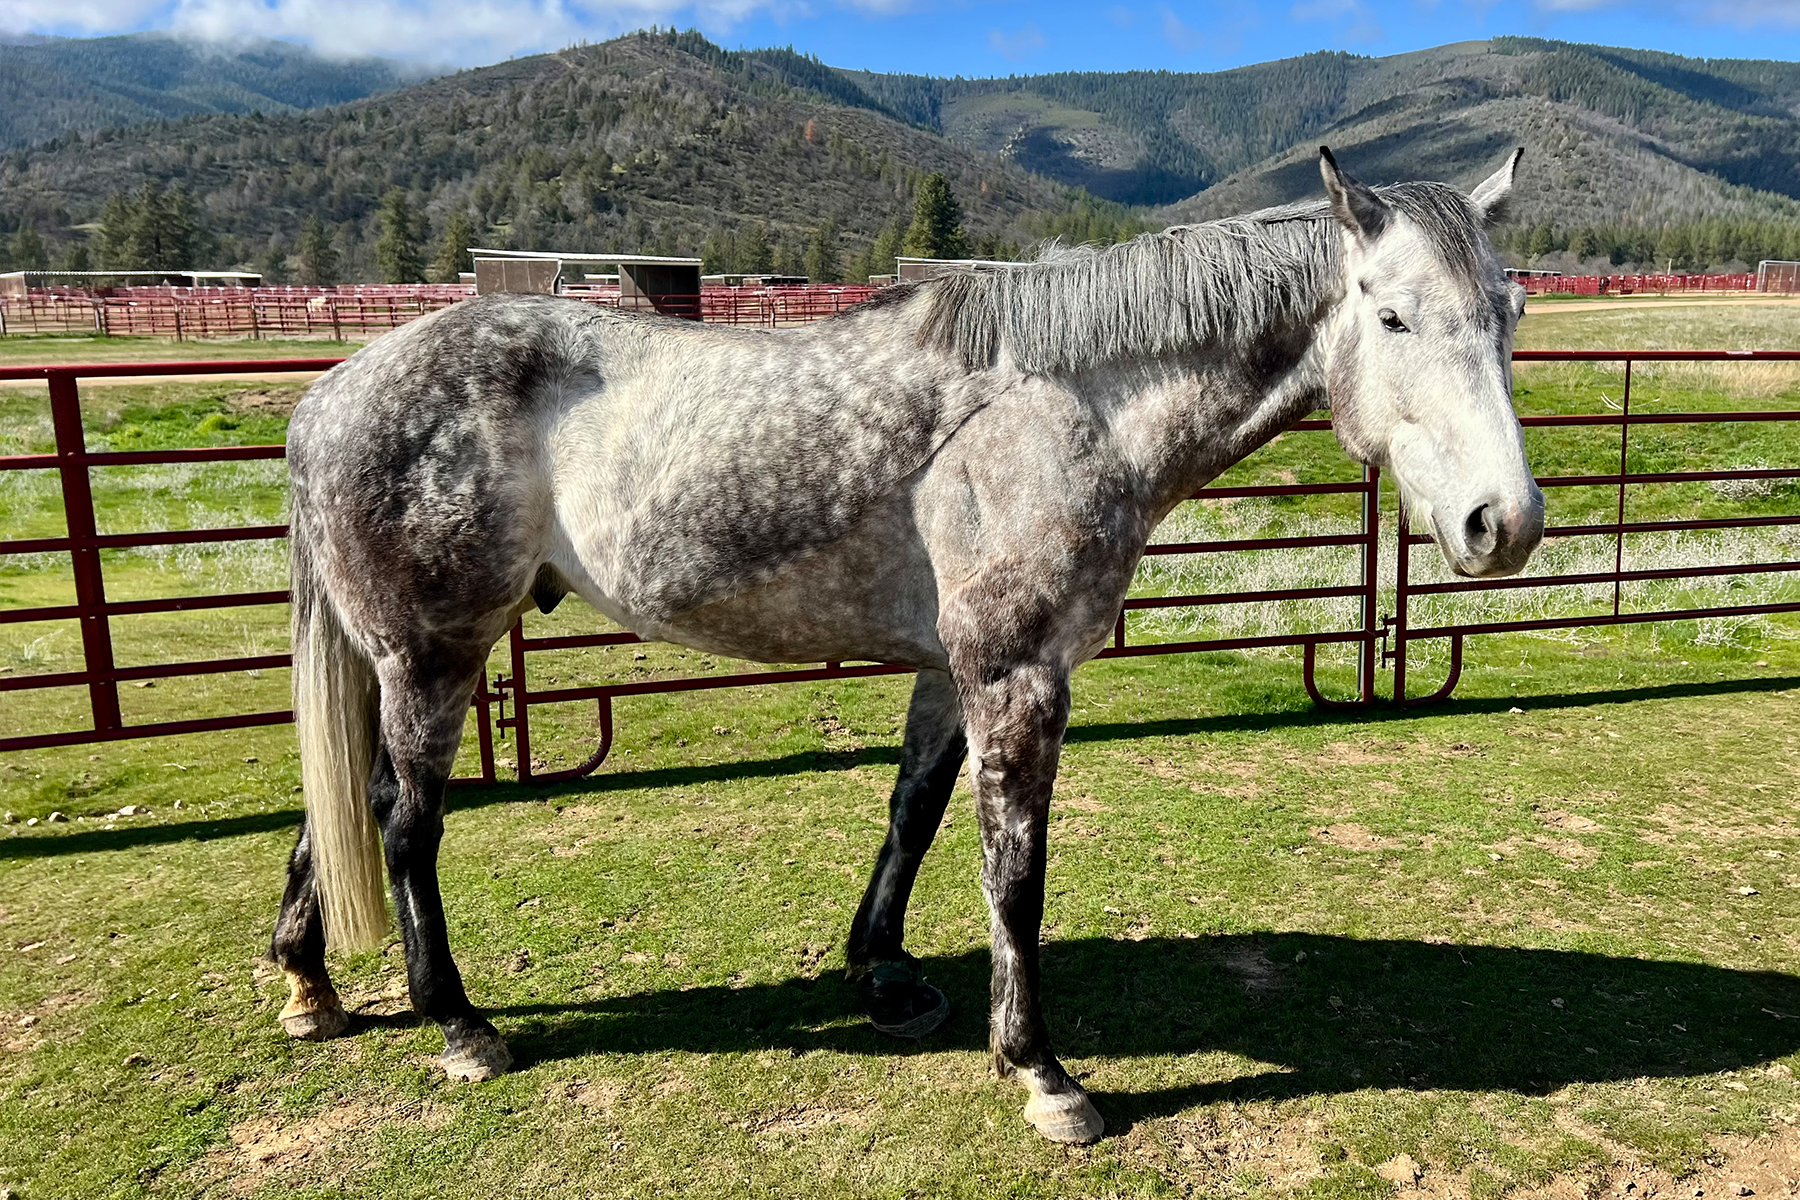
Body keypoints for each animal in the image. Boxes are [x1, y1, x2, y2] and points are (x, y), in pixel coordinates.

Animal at [271, 148, 1545, 1144]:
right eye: (1391, 317)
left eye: (1510, 315)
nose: (1505, 523)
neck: (1059, 405)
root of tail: (328, 399)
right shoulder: (1018, 676)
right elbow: (1015, 871)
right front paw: (1041, 1074)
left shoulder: (952, 668)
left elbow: (916, 813)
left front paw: (881, 973)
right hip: (433, 655)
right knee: (404, 822)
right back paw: (460, 1025)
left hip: (401, 662)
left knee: (342, 809)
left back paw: (306, 983)